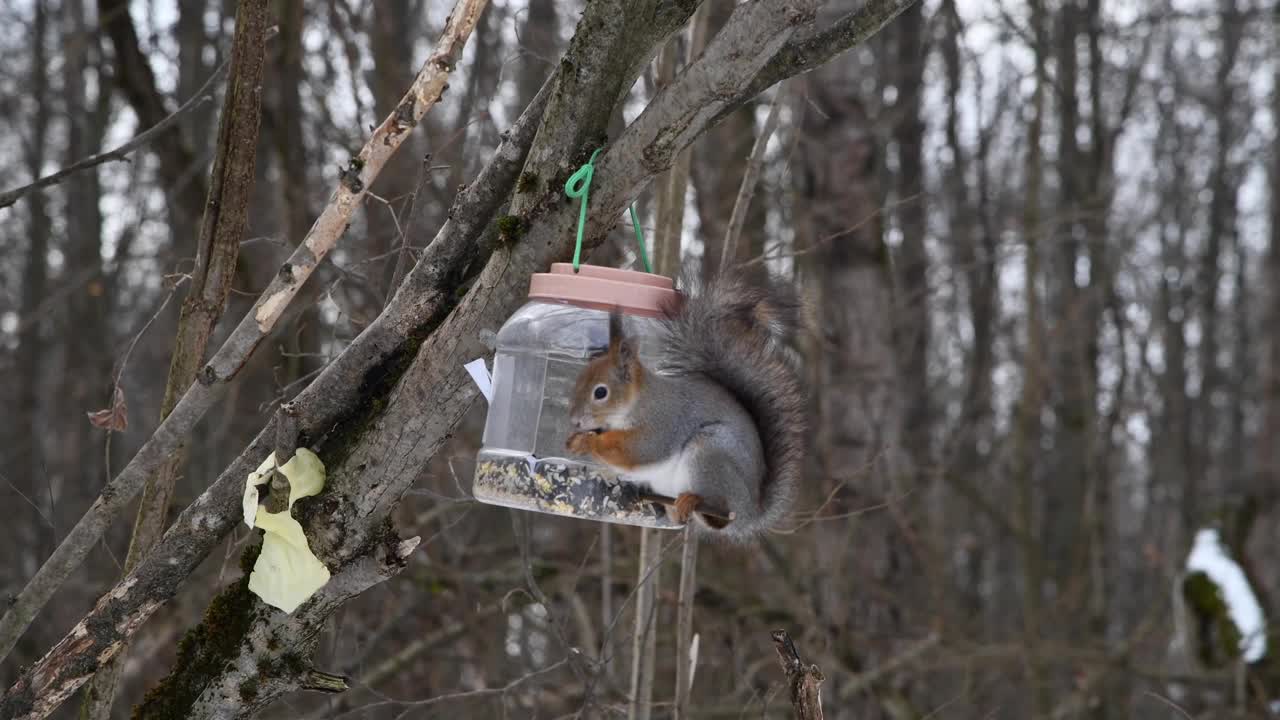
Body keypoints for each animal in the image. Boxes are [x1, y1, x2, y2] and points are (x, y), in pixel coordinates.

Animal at [565, 269, 803, 538]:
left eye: (600, 392)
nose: (574, 420)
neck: (637, 402)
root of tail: (752, 512)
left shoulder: (662, 422)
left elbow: (638, 450)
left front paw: (587, 442)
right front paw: (577, 441)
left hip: (710, 453)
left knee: (720, 512)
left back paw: (693, 500)